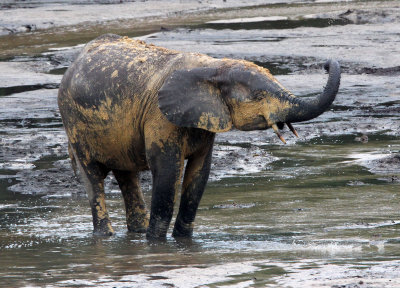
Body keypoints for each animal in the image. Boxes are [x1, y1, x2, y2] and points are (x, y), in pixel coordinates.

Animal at [57, 33, 340, 238]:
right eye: (259, 96)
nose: (326, 63)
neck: (213, 68)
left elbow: (199, 174)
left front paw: (183, 241)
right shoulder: (160, 117)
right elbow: (168, 173)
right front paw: (156, 244)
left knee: (127, 176)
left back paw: (135, 233)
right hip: (73, 123)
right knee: (93, 177)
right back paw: (106, 236)